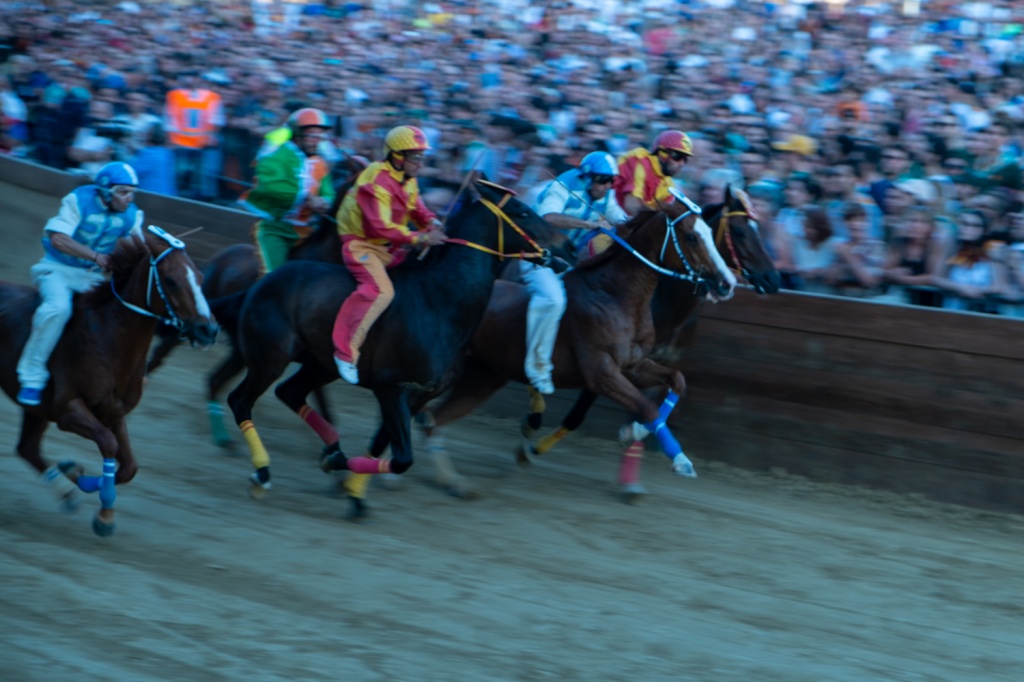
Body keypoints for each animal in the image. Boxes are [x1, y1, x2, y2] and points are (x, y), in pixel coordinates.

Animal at [0, 228, 216, 536]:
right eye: (171, 281)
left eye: (199, 276)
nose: (208, 330)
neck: (109, 340)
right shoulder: (68, 410)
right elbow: (109, 444)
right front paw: (104, 513)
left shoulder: (113, 412)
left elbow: (130, 466)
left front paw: (76, 474)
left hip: (36, 410)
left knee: (26, 448)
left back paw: (67, 493)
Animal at [411, 188, 741, 497]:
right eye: (692, 237)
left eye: (710, 233)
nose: (727, 283)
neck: (615, 294)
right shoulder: (601, 372)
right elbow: (646, 406)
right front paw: (677, 459)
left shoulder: (633, 364)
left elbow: (677, 380)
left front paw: (635, 433)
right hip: (443, 374)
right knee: (421, 411)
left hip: (484, 375)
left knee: (434, 421)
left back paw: (453, 481)